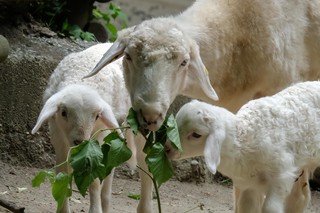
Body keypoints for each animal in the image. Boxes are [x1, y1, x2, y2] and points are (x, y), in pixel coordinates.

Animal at [31, 42, 134, 213]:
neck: (82, 79)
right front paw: (62, 209)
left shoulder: (97, 139)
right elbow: (62, 174)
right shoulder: (58, 137)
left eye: (97, 116)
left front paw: (95, 209)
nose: (80, 141)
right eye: (63, 112)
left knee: (108, 177)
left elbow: (94, 181)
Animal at [166, 80, 320, 212]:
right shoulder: (249, 185)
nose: (167, 149)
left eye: (196, 135)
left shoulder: (282, 174)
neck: (243, 138)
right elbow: (246, 207)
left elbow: (270, 208)